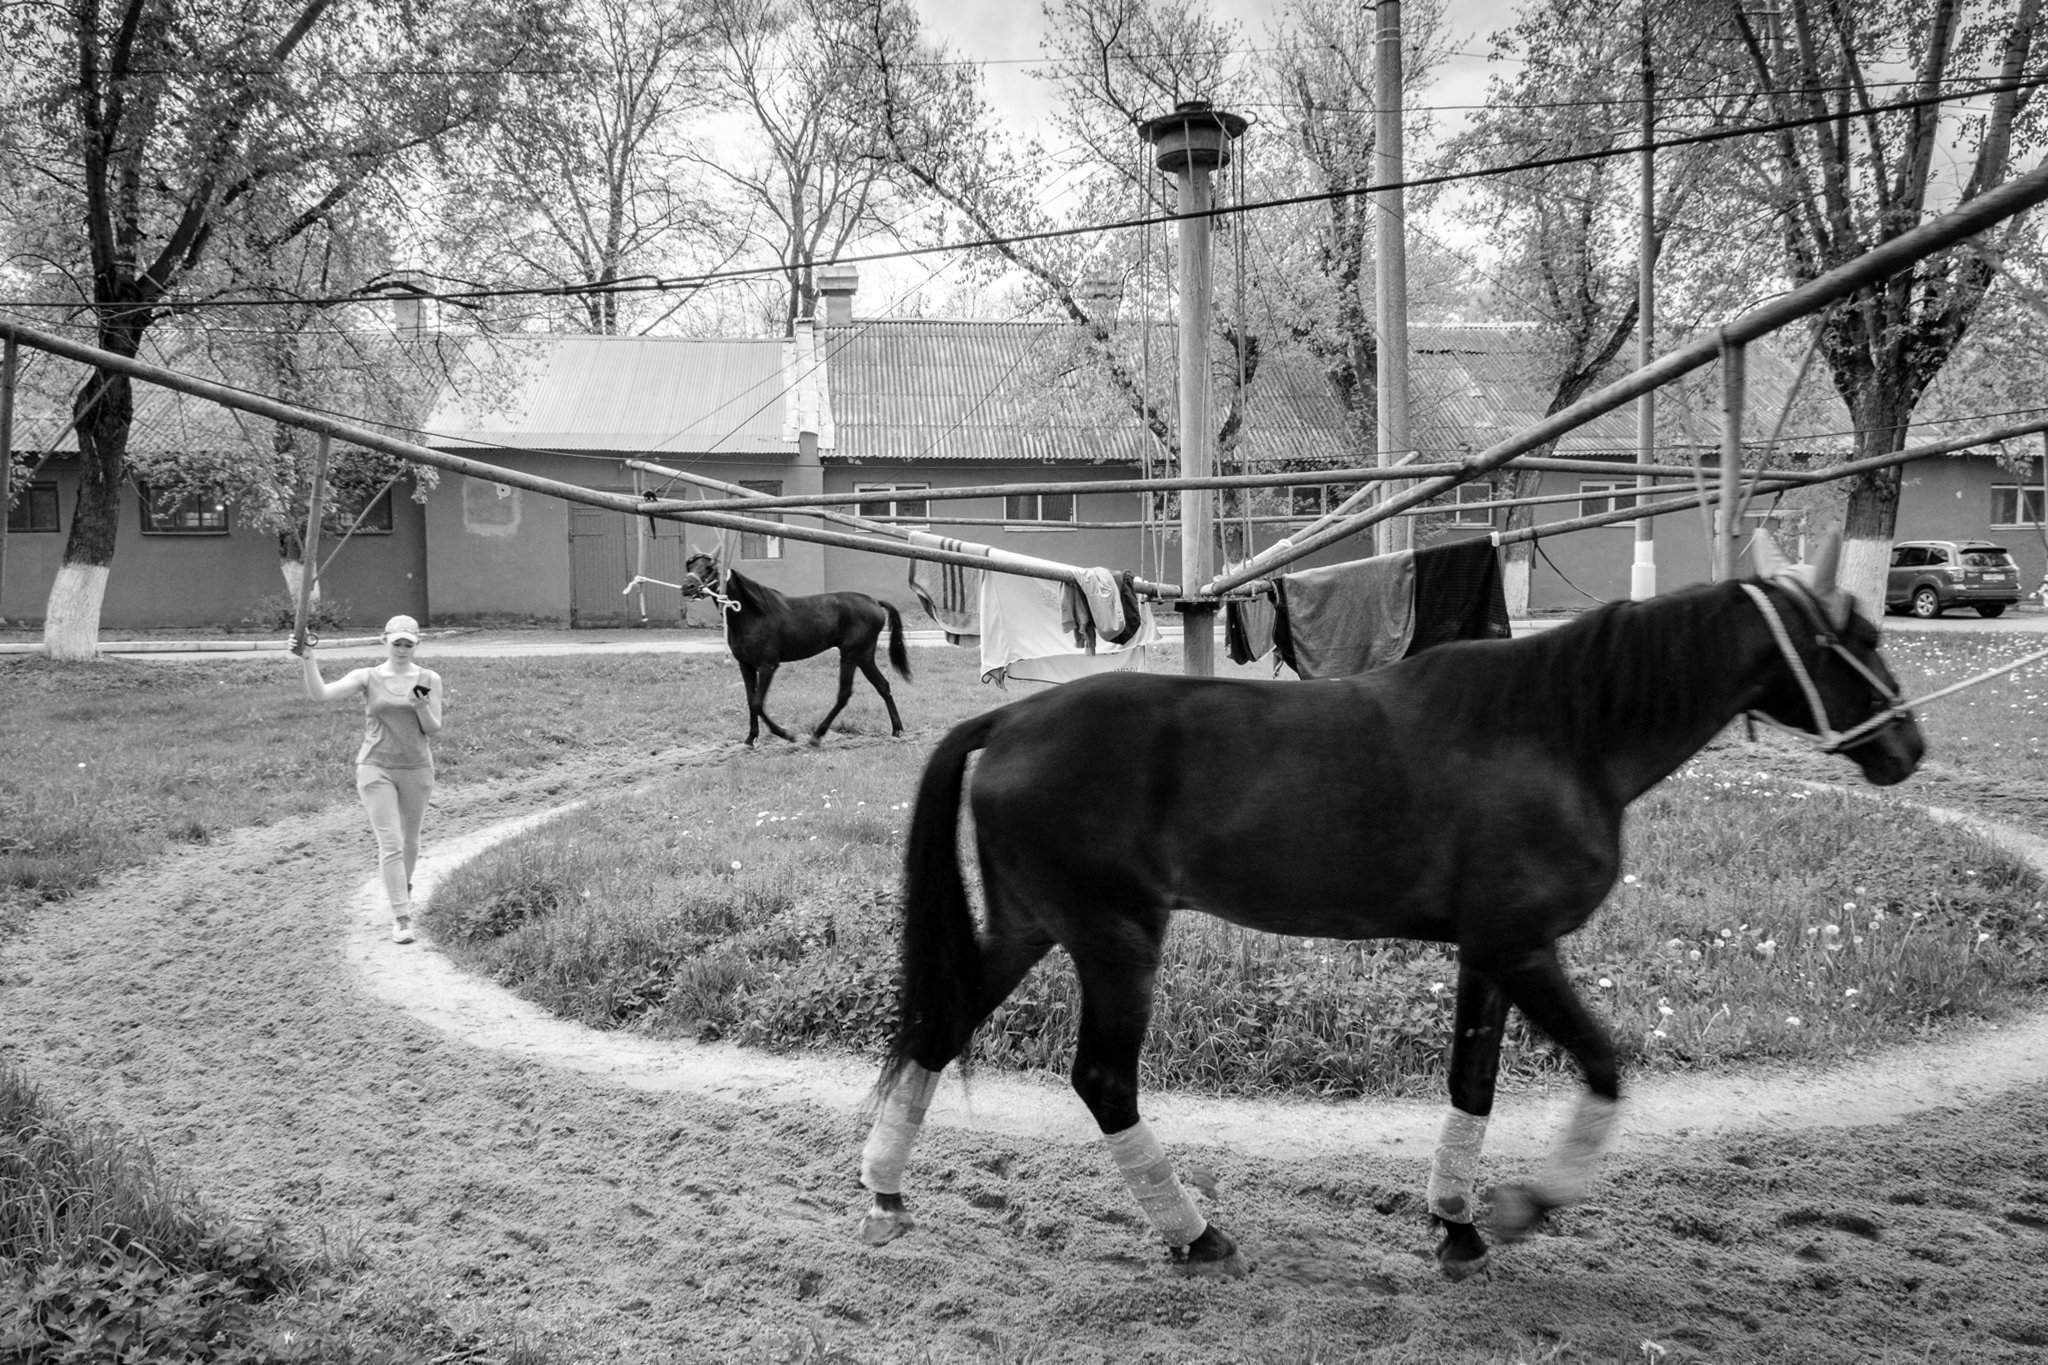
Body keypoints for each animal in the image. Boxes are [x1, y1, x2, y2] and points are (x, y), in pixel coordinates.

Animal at [684, 552, 909, 749]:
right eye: (690, 565)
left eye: (709, 568)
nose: (687, 587)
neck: (753, 614)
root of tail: (874, 602)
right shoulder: (745, 665)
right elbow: (750, 701)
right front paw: (750, 739)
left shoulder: (768, 665)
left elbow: (757, 702)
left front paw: (786, 735)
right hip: (864, 655)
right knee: (882, 685)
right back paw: (897, 729)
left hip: (850, 654)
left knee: (844, 693)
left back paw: (817, 735)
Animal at [856, 536, 1925, 1285]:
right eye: (1858, 641)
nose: (1907, 747)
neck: (1560, 728)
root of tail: (1010, 718)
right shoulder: (1522, 945)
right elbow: (1605, 1068)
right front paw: (1523, 1206)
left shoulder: (1486, 953)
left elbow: (1473, 1084)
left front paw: (1457, 1224)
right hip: (1114, 941)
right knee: (1103, 1080)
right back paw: (1195, 1234)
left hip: (1032, 929)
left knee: (941, 1029)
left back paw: (885, 1190)